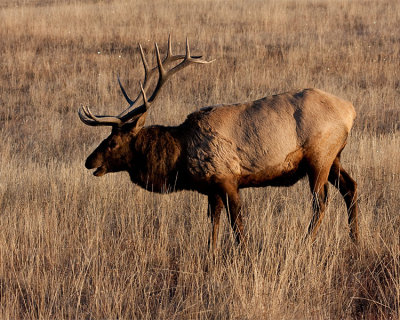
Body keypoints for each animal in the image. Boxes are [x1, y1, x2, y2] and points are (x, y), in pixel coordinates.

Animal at [79, 36, 360, 252]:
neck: (180, 158)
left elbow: (237, 226)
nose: (89, 161)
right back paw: (355, 240)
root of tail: (350, 110)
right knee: (350, 187)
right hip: (334, 157)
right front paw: (211, 255)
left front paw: (244, 257)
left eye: (113, 141)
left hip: (319, 157)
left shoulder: (228, 179)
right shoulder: (211, 188)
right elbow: (213, 224)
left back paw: (305, 244)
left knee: (320, 201)